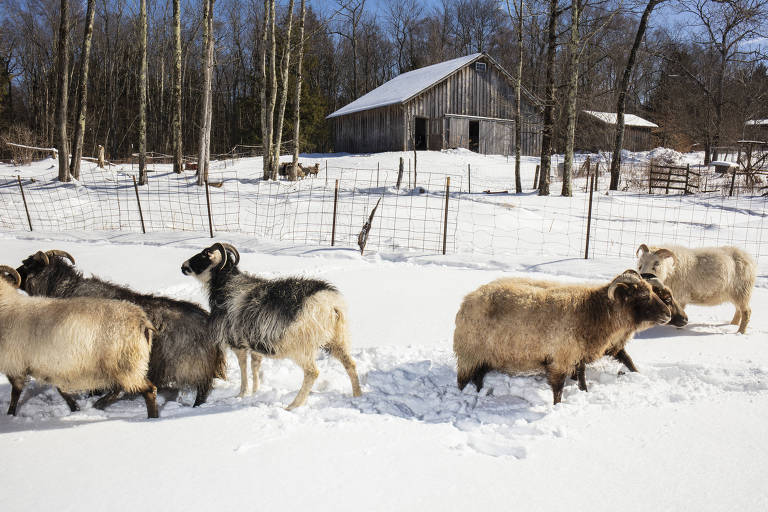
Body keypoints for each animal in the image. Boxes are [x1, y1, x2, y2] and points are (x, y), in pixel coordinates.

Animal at [0, 266, 159, 418]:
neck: (7, 306)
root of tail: (142, 320)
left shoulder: (16, 363)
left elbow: (16, 392)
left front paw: (10, 415)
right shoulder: (51, 365)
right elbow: (61, 390)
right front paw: (74, 408)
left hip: (125, 363)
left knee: (147, 390)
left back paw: (150, 419)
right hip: (126, 365)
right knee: (124, 388)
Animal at [15, 250, 225, 406]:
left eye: (26, 265)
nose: (10, 275)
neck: (63, 290)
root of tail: (207, 319)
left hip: (192, 366)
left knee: (202, 390)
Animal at [181, 242, 364, 410]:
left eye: (205, 254)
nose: (183, 266)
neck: (225, 284)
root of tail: (331, 305)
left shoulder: (237, 343)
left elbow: (243, 368)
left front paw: (241, 394)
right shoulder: (253, 343)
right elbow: (255, 366)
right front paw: (255, 391)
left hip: (300, 346)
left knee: (312, 372)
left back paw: (293, 406)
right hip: (338, 339)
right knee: (350, 364)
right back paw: (357, 394)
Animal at [452, 268, 668, 404]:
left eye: (652, 291)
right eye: (643, 296)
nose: (667, 314)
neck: (591, 311)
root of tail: (467, 299)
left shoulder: (577, 355)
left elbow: (582, 377)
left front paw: (584, 393)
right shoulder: (560, 358)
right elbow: (558, 388)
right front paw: (557, 408)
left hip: (484, 355)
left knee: (478, 376)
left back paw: (480, 393)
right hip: (469, 352)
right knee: (462, 380)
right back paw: (464, 397)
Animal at [492, 276, 688, 392]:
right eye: (666, 299)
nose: (684, 319)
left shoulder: (610, 347)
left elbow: (629, 361)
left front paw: (638, 375)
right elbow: (582, 370)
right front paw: (582, 389)